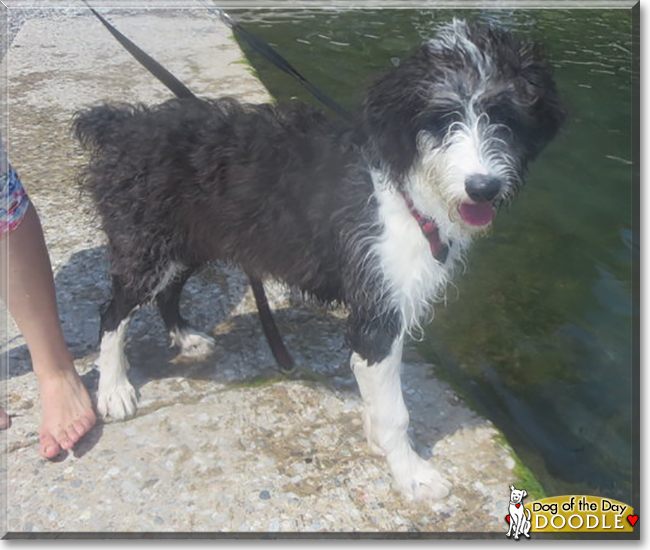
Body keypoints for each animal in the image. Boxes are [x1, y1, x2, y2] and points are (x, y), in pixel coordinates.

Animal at [73, 20, 560, 504]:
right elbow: (396, 411)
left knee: (167, 292)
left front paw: (379, 440)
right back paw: (114, 389)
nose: (483, 187)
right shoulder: (376, 309)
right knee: (112, 313)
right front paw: (410, 474)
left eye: (506, 118)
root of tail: (125, 125)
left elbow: (375, 386)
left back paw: (185, 336)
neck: (403, 184)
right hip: (146, 244)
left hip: (189, 241)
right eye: (443, 117)